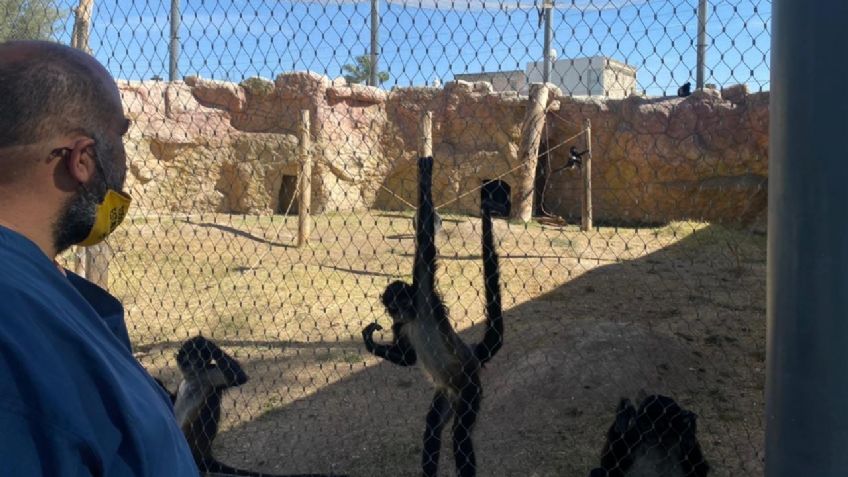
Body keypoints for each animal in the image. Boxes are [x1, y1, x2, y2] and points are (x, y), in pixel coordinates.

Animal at [159, 336, 345, 477]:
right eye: (184, 355)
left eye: (193, 356)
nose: (183, 360)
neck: (193, 377)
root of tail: (205, 456)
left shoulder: (209, 374)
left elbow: (238, 377)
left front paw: (204, 341)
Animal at [361, 156, 504, 477]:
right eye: (392, 306)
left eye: (403, 299)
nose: (400, 308)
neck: (415, 316)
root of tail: (473, 359)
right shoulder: (400, 325)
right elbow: (408, 357)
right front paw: (370, 341)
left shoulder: (424, 291)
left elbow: (425, 238)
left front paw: (425, 177)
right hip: (447, 394)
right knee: (432, 428)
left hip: (468, 388)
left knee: (461, 434)